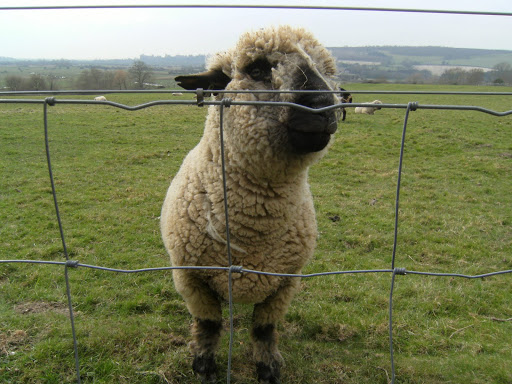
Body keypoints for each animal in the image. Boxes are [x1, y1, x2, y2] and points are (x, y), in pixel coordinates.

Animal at [161, 25, 340, 382]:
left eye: (327, 71)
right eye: (256, 69)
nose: (323, 106)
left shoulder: (285, 283)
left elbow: (263, 330)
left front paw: (268, 367)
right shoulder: (191, 280)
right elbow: (209, 324)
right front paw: (204, 365)